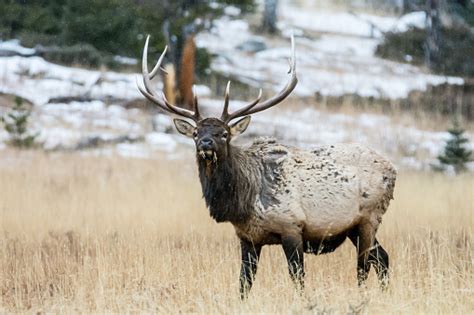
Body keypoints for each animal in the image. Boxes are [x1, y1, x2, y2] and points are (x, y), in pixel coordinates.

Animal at [138, 35, 396, 300]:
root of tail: (392, 168)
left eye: (224, 133)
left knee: (364, 266)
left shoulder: (292, 227)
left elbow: (298, 278)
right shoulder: (247, 237)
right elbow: (244, 282)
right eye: (196, 133)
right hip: (354, 228)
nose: (205, 143)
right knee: (382, 258)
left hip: (369, 217)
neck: (241, 203)